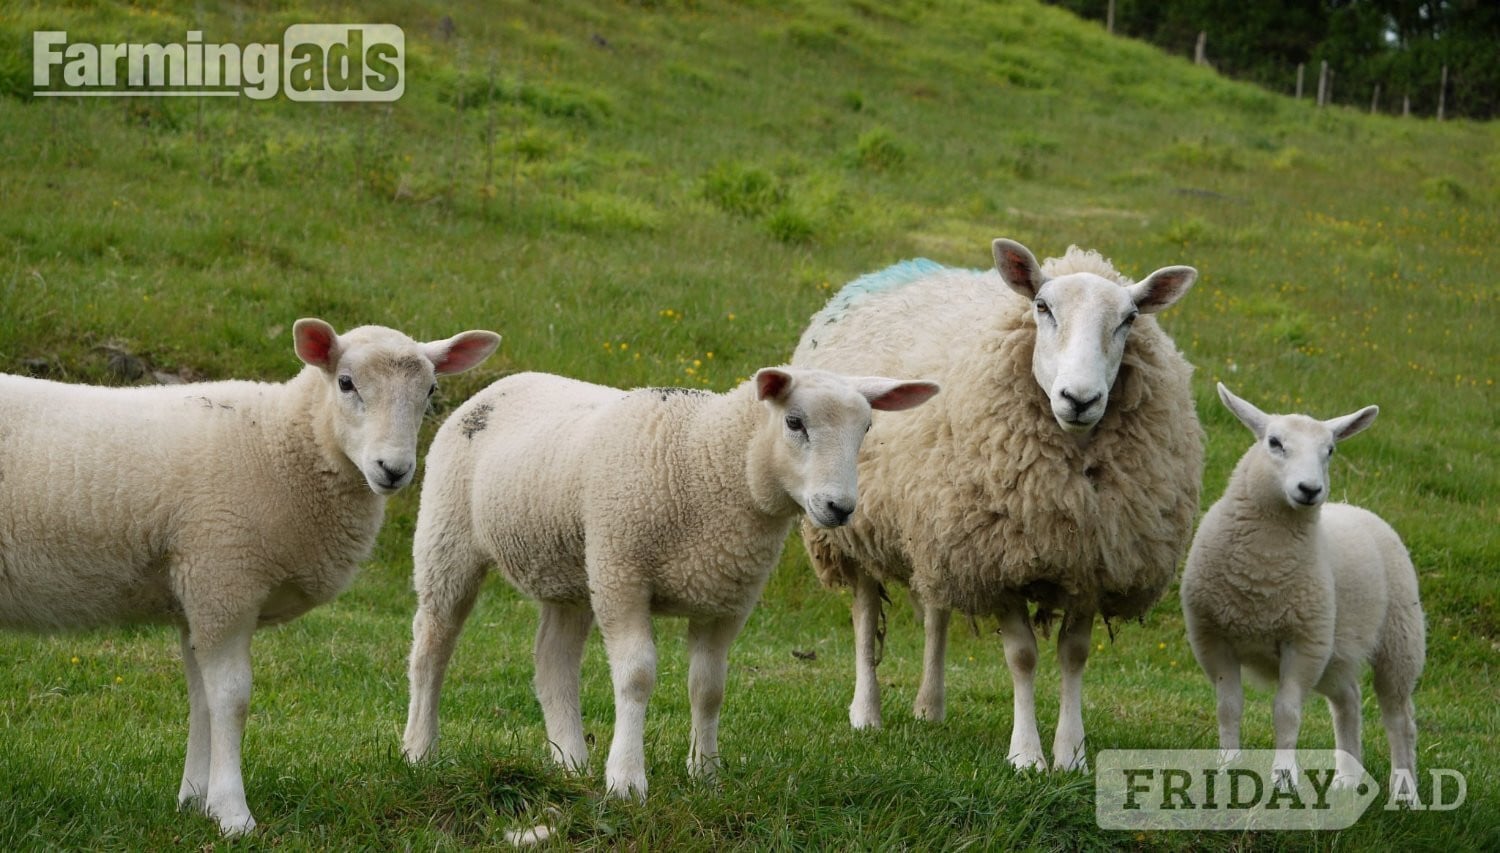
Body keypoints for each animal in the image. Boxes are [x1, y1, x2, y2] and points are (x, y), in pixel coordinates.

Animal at [0, 319, 501, 834]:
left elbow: (201, 697)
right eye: (346, 383)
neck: (281, 442)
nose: (394, 469)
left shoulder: (198, 594)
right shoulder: (223, 577)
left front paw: (193, 800)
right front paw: (232, 812)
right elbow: (230, 697)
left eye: (431, 390)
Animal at [401, 367, 938, 799]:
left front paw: (705, 773)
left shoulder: (726, 598)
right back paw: (419, 750)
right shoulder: (623, 576)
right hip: (448, 539)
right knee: (432, 647)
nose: (840, 508)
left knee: (553, 660)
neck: (709, 461)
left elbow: (709, 688)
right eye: (794, 422)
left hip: (573, 569)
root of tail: (502, 385)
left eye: (866, 428)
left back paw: (571, 762)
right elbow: (637, 676)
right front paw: (626, 781)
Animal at [793, 238, 1202, 772]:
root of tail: (895, 269)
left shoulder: (1091, 560)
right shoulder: (997, 561)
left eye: (1129, 318)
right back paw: (866, 713)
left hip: (936, 525)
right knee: (864, 614)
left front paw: (1072, 755)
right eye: (1042, 307)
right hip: (853, 526)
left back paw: (929, 707)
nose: (1079, 398)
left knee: (936, 612)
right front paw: (1026, 757)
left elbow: (1074, 654)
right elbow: (1023, 656)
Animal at [1180, 383, 1424, 804]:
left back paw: (1405, 792)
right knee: (1348, 702)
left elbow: (1287, 712)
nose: (1309, 490)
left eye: (1330, 450)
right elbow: (1229, 706)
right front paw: (1228, 768)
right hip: (1335, 652)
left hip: (1399, 640)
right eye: (1274, 443)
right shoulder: (1212, 637)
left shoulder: (1304, 643)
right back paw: (1347, 780)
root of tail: (1358, 508)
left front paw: (1283, 779)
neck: (1261, 577)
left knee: (1399, 719)